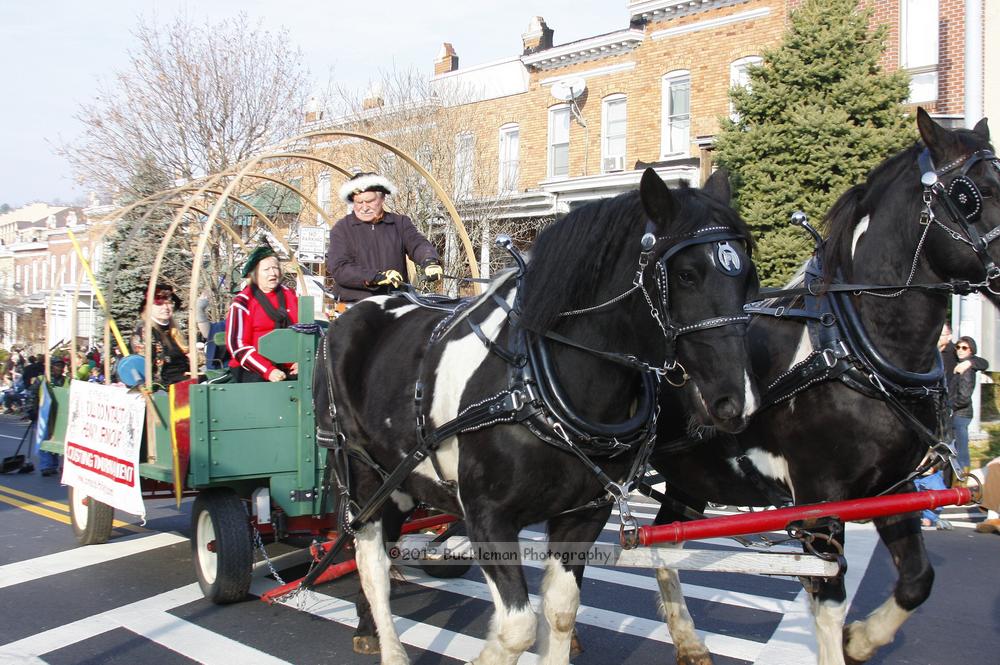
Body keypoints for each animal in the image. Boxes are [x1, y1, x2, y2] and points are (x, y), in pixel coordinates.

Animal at [316, 167, 760, 664]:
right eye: (685, 275)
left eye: (747, 277)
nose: (735, 401)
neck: (536, 382)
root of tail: (349, 316)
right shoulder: (487, 518)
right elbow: (518, 628)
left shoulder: (583, 517)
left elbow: (561, 611)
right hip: (359, 472)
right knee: (370, 559)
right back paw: (390, 646)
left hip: (401, 479)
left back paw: (367, 627)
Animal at [652, 111, 996, 660]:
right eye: (972, 195)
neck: (858, 348)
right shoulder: (820, 498)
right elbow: (829, 597)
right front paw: (846, 640)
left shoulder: (891, 488)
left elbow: (917, 580)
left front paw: (862, 640)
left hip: (689, 473)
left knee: (662, 544)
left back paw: (688, 642)